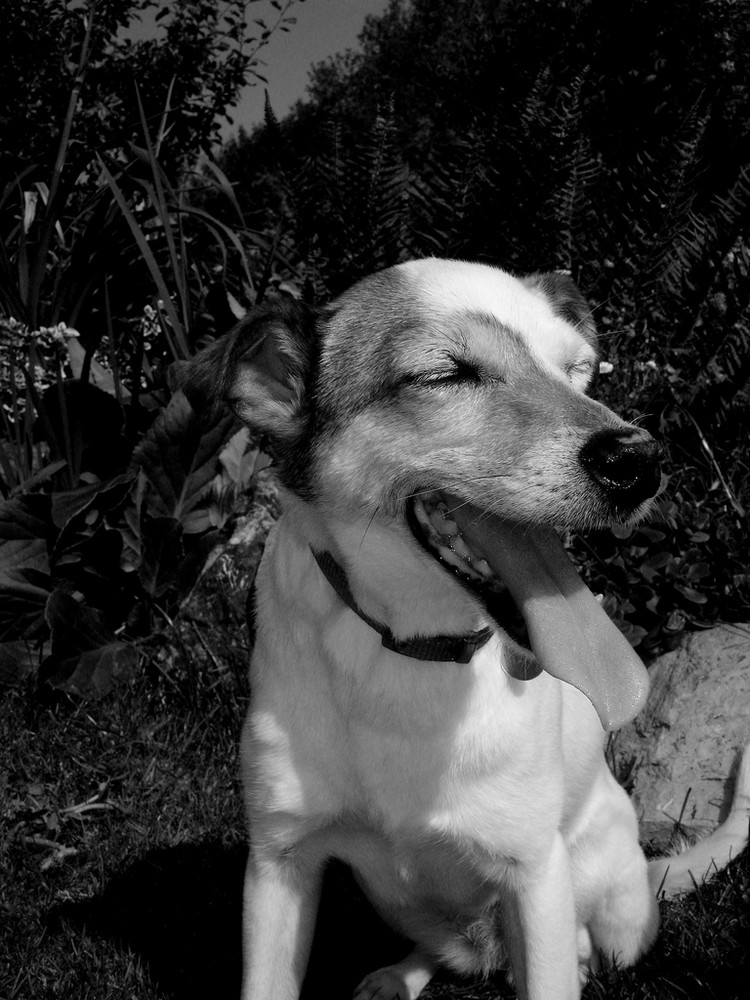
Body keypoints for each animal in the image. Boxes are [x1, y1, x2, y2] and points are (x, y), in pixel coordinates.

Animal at [182, 260, 750, 1000]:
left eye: (578, 370)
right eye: (446, 374)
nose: (639, 460)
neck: (413, 650)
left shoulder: (534, 873)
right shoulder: (279, 861)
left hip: (609, 906)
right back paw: (399, 975)